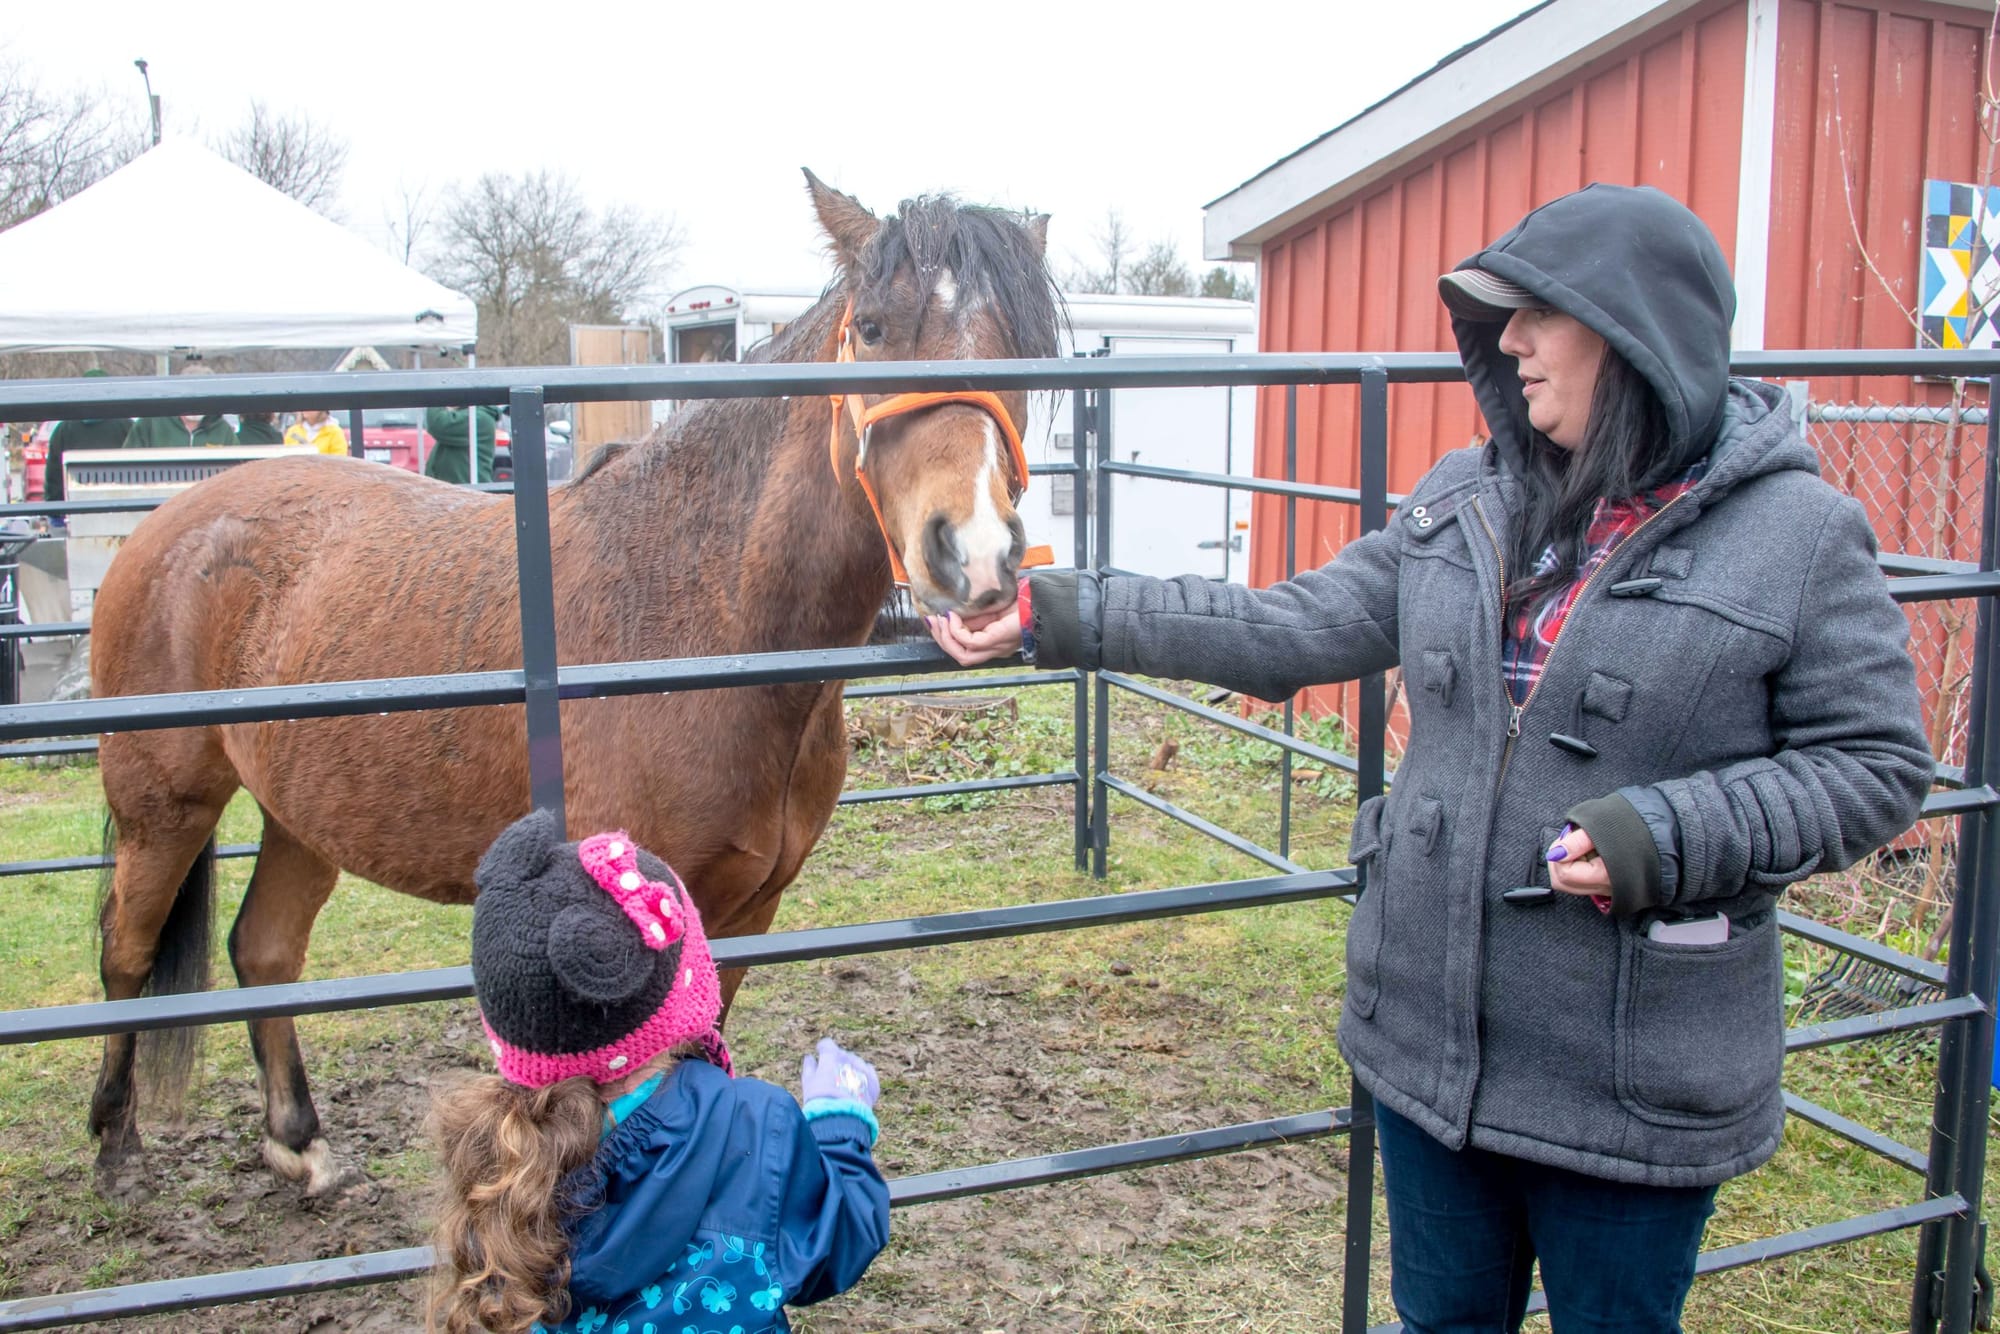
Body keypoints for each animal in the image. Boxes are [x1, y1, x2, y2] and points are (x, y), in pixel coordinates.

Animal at [85, 171, 1060, 1201]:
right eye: (870, 328)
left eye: (1026, 350)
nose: (973, 555)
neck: (701, 610)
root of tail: (171, 522)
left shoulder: (743, 918)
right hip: (164, 808)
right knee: (126, 951)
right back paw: (116, 1141)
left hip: (302, 813)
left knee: (264, 948)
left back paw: (296, 1141)